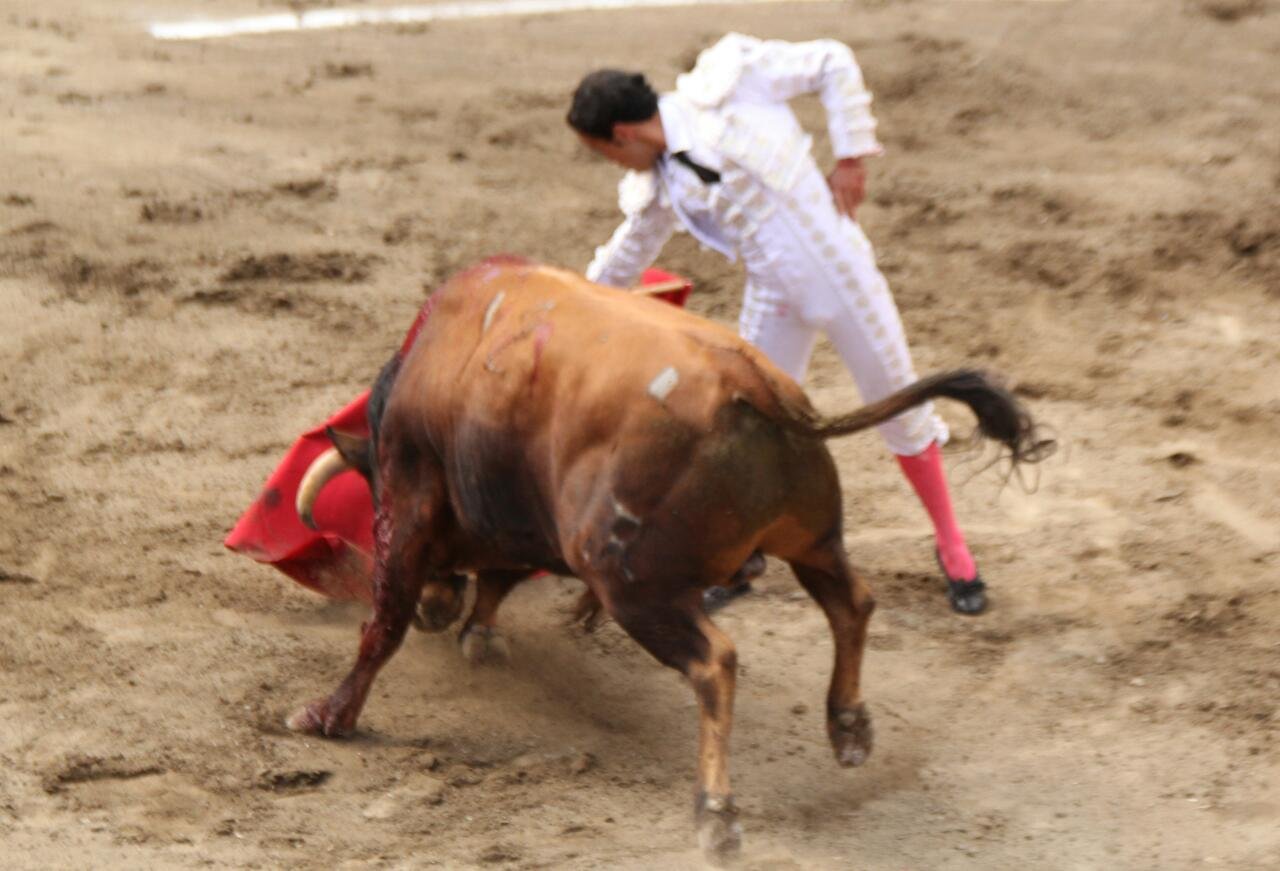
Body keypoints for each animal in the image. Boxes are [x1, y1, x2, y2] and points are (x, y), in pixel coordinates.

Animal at [288, 255, 1050, 860]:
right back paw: (848, 727)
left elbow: (385, 618)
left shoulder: (412, 495)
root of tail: (761, 386)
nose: (438, 610)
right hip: (812, 539)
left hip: (634, 587)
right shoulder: (521, 510)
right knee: (852, 602)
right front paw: (482, 633)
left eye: (371, 487)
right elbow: (501, 573)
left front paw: (328, 715)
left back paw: (715, 813)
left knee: (716, 662)